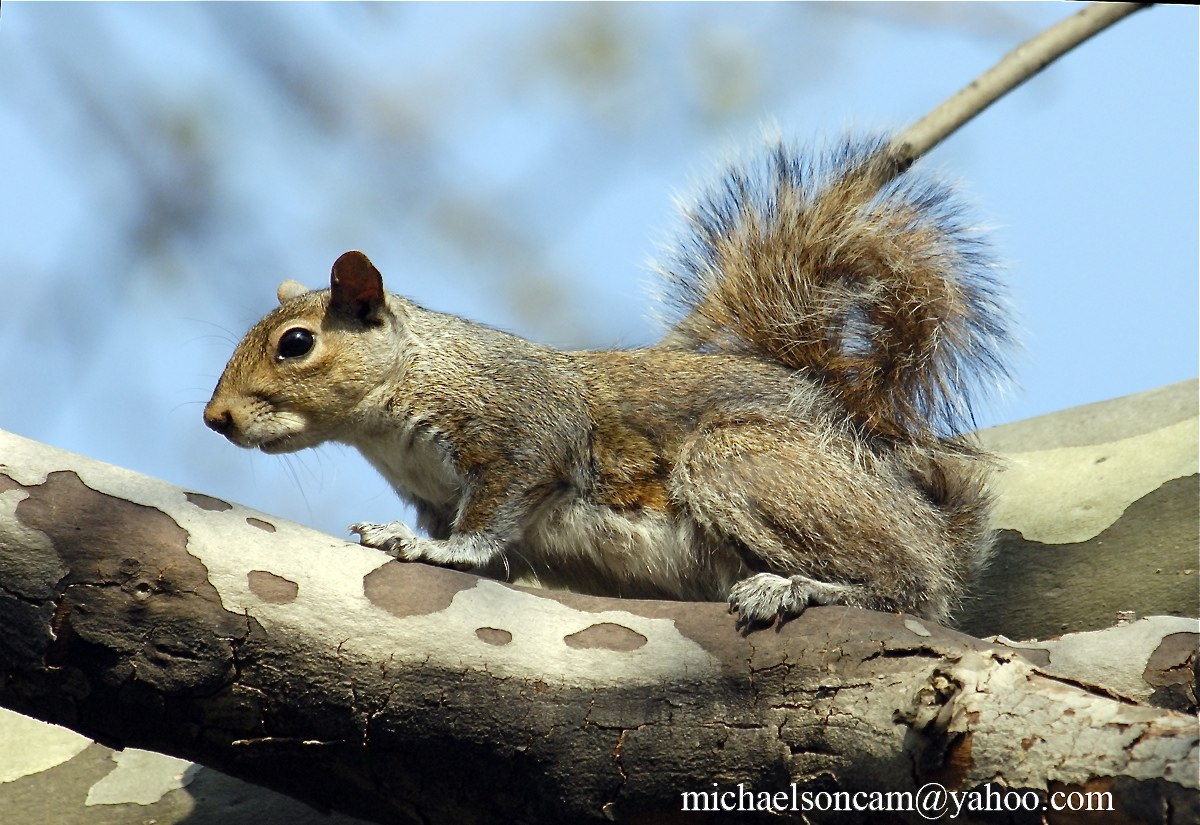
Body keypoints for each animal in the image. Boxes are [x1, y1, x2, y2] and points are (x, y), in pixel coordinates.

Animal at [204, 136, 1012, 623]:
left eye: (296, 344)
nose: (218, 420)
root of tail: (933, 520)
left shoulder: (523, 426)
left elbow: (495, 509)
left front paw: (441, 551)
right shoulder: (433, 491)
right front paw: (397, 532)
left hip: (748, 462)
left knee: (911, 586)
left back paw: (801, 585)